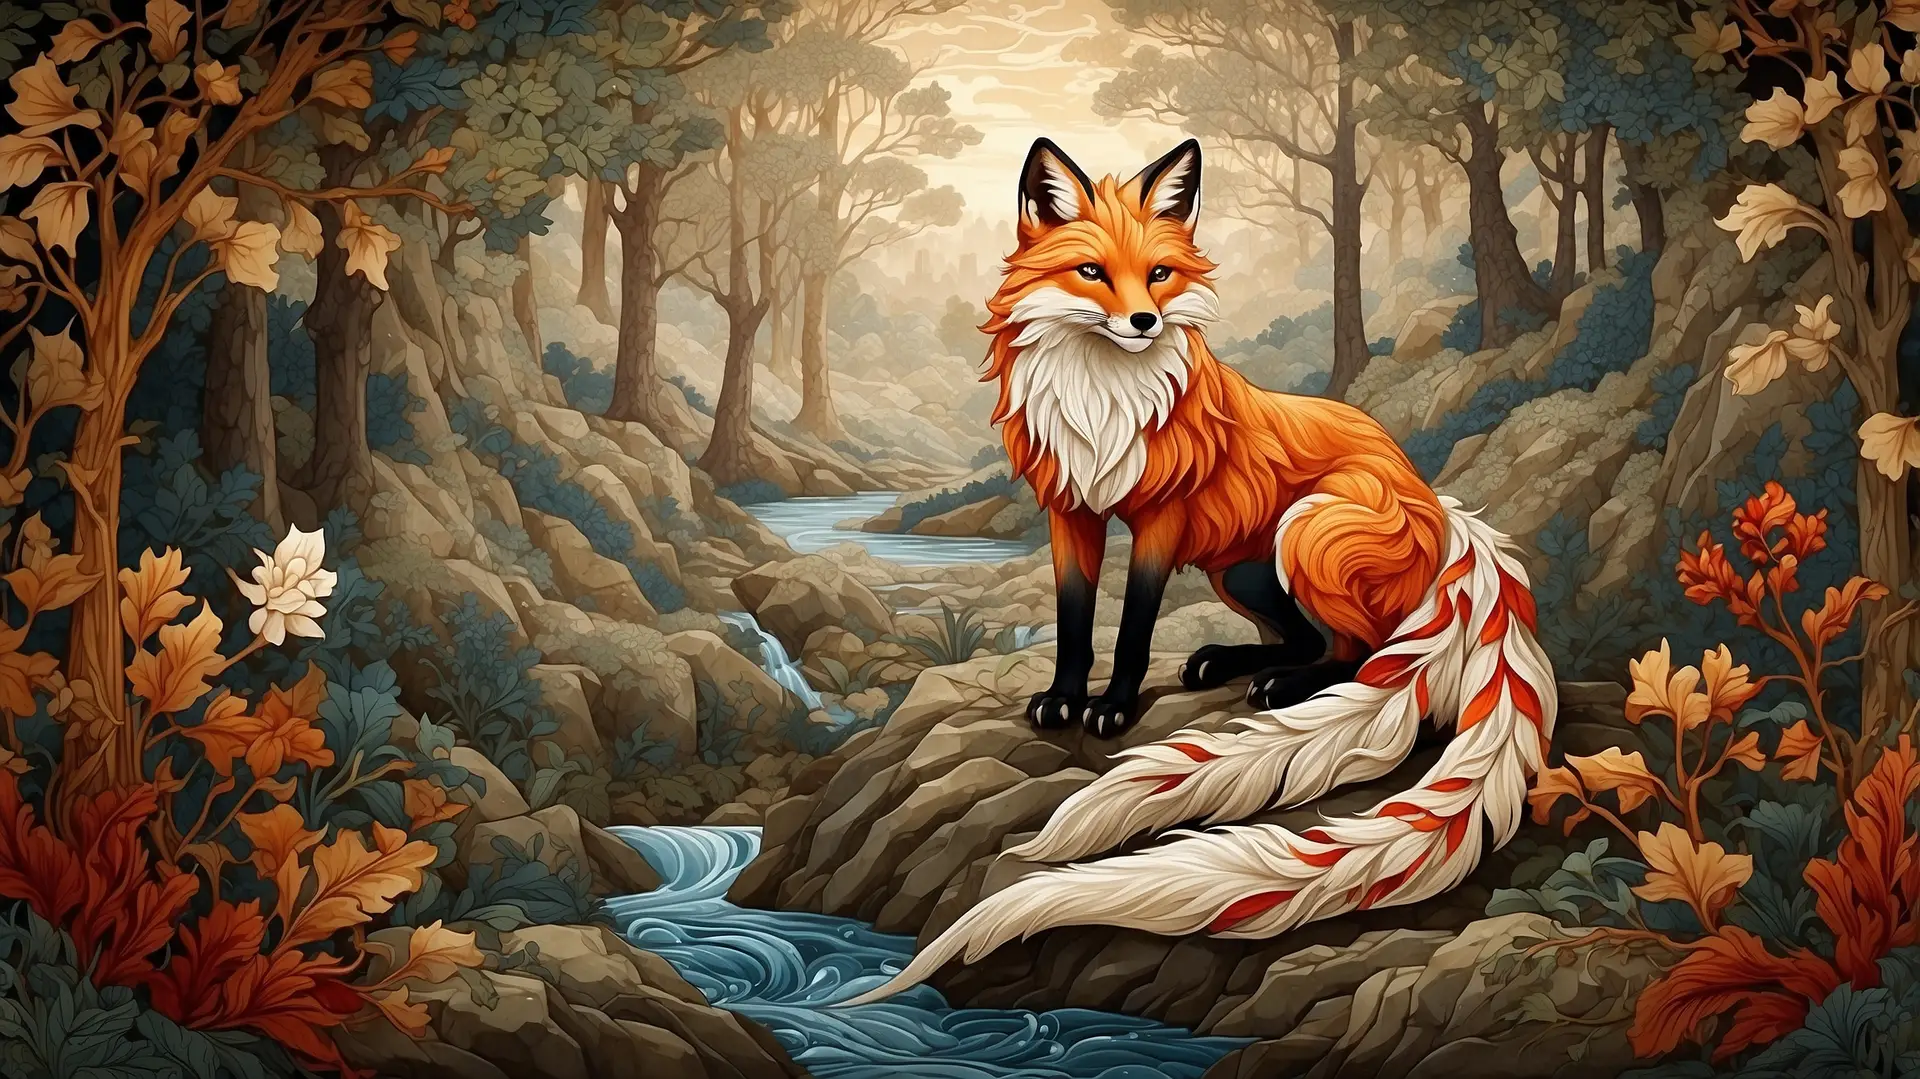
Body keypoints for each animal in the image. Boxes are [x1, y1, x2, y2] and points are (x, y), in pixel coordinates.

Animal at [841, 138, 1557, 1006]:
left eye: (1158, 274)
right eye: (1091, 272)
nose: (1145, 322)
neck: (1101, 397)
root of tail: (1440, 503)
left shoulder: (1161, 520)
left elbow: (1134, 628)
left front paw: (1113, 708)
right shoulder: (1071, 512)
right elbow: (1075, 621)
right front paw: (1062, 699)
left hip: (1304, 531)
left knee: (1357, 651)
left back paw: (1282, 686)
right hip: (1240, 573)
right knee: (1307, 638)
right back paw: (1231, 662)